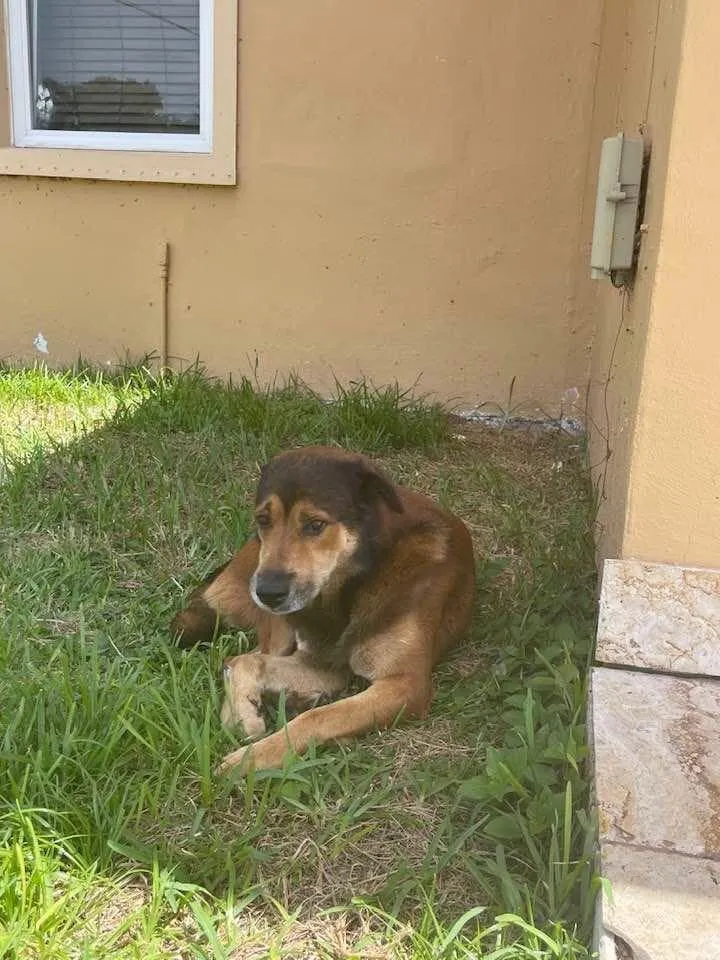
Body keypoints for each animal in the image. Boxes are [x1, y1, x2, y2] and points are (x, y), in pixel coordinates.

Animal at [172, 446, 476, 776]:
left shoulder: (405, 684)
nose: (267, 593)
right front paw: (246, 722)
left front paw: (249, 760)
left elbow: (320, 717)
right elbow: (248, 662)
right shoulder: (321, 663)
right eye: (263, 520)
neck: (352, 585)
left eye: (315, 525)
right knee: (243, 656)